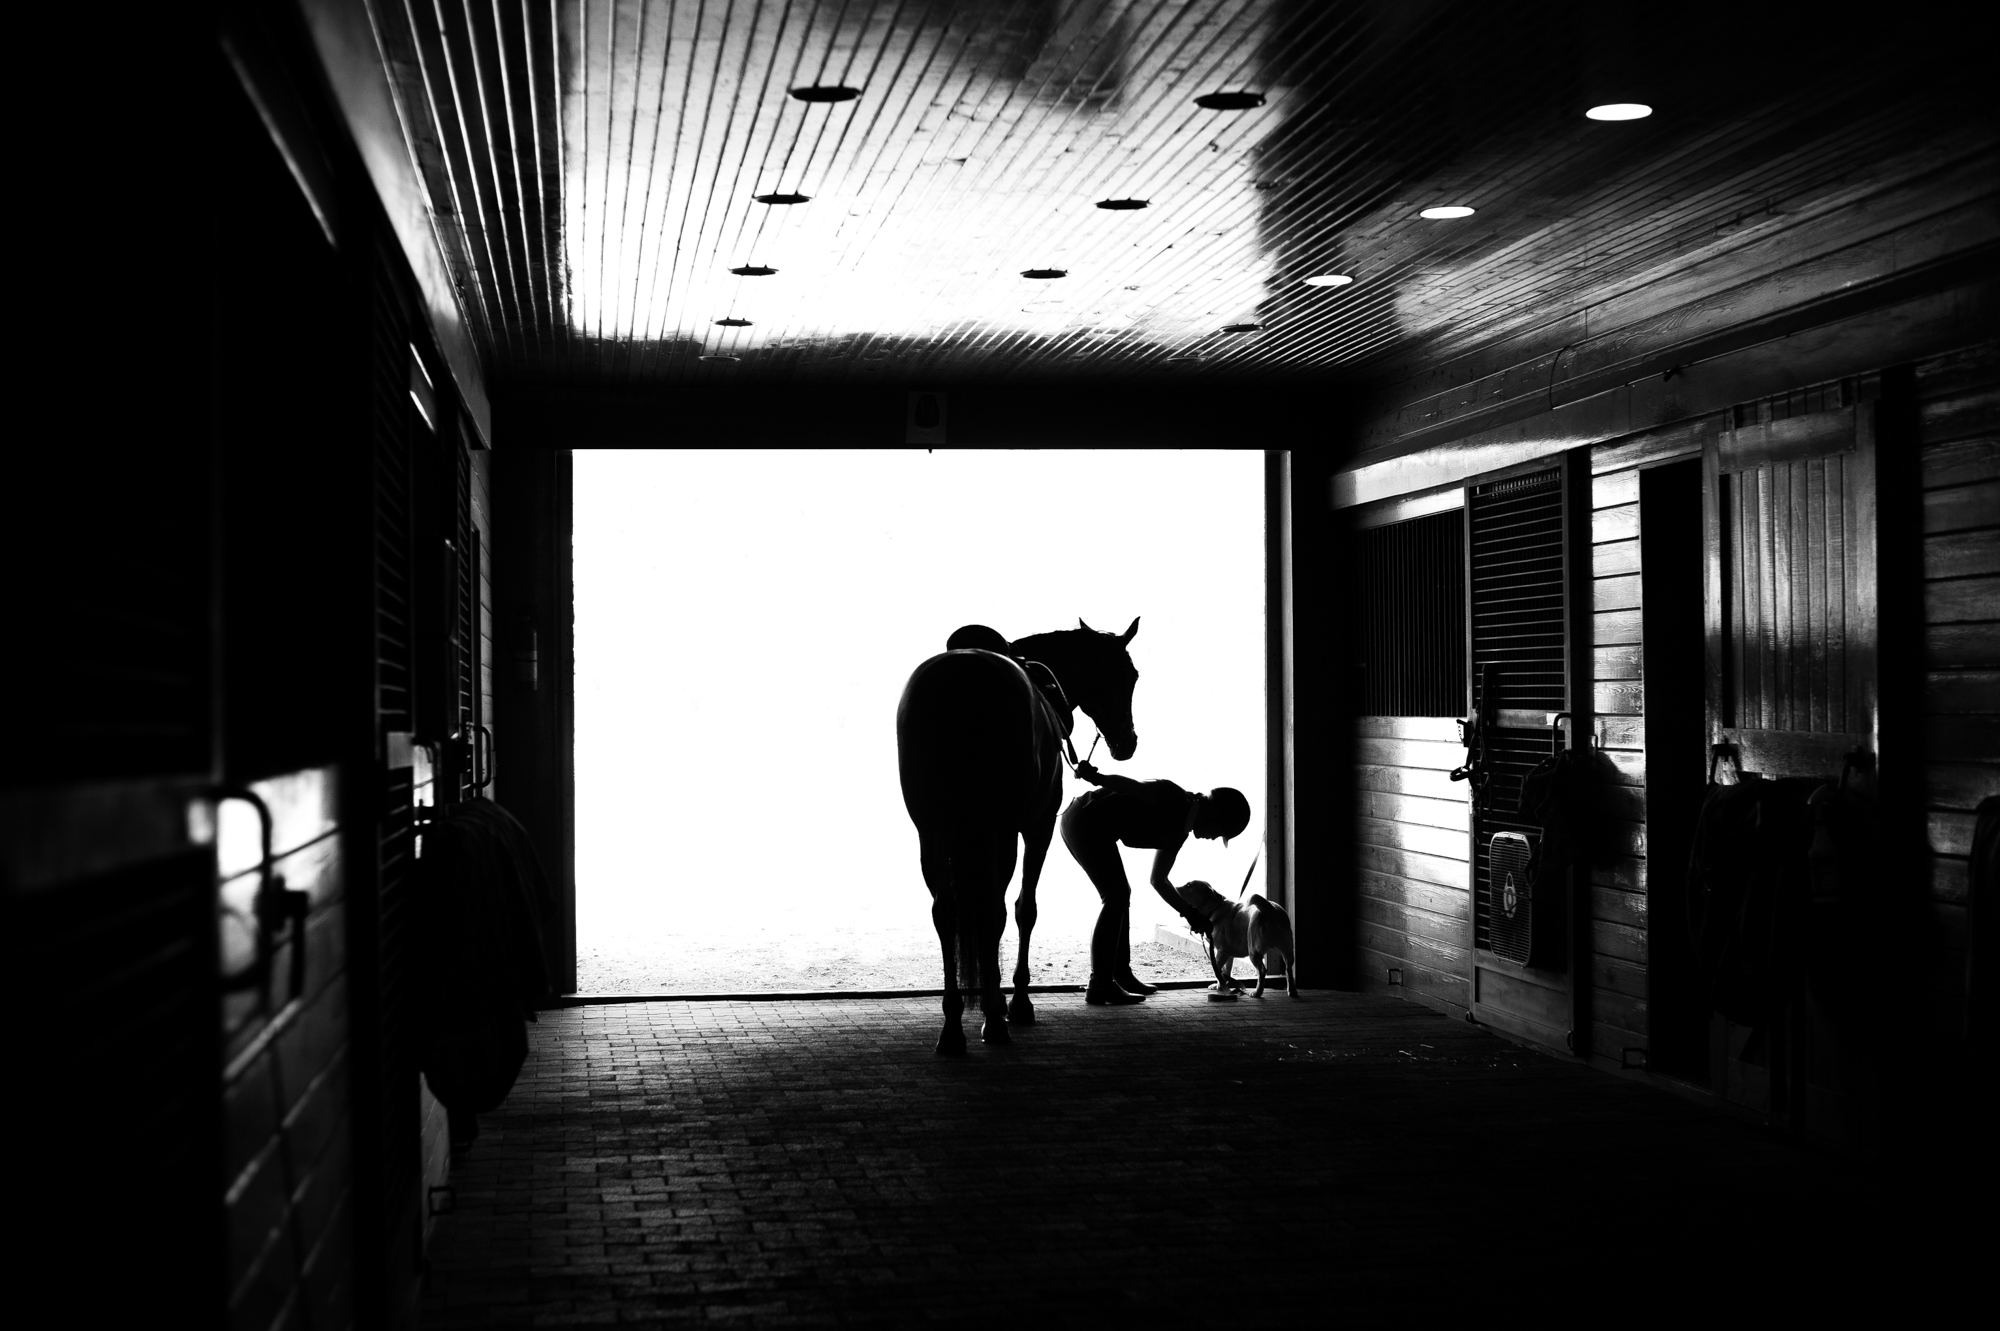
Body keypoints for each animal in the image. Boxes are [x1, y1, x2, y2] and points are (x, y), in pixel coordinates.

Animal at [1168, 879, 1296, 995]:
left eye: (1189, 886)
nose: (1174, 887)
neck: (1215, 909)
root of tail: (1270, 910)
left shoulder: (1222, 952)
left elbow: (1218, 971)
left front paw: (1221, 987)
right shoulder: (1228, 955)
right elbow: (1226, 972)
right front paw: (1222, 986)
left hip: (1254, 951)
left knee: (1262, 970)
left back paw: (1257, 992)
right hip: (1287, 950)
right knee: (1288, 969)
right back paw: (1292, 991)